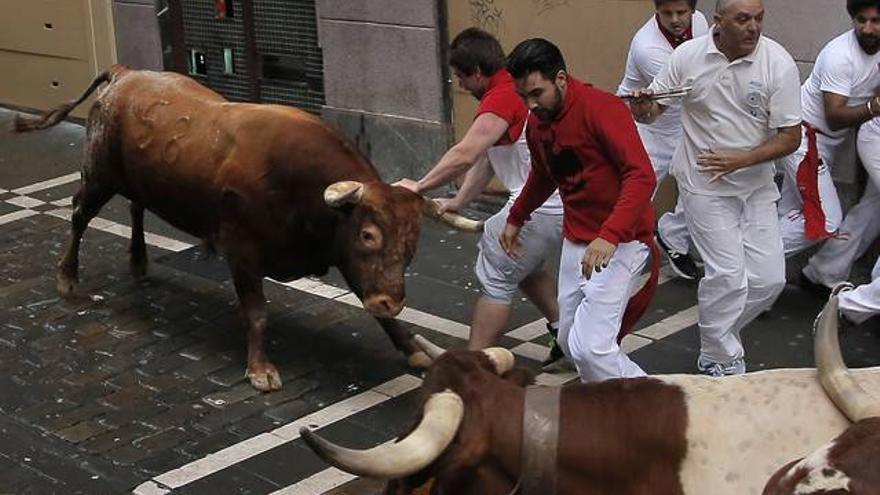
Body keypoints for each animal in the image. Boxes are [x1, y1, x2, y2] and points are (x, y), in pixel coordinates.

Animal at [12, 65, 482, 392]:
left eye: (413, 242)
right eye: (369, 235)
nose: (392, 300)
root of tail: (125, 74)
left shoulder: (340, 253)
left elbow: (377, 312)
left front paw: (412, 349)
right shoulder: (242, 251)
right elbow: (256, 313)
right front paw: (260, 370)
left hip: (136, 179)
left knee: (136, 207)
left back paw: (139, 260)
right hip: (98, 175)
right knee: (78, 216)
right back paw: (67, 278)